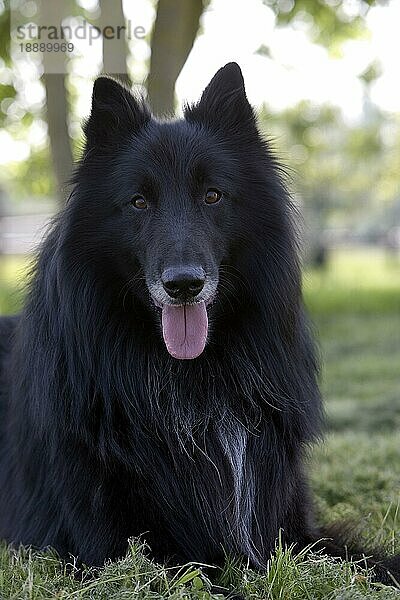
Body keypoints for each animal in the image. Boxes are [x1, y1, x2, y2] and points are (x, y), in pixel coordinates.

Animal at [0, 63, 398, 584]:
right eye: (139, 202)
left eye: (212, 196)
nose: (184, 285)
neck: (192, 378)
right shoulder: (121, 552)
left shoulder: (292, 528)